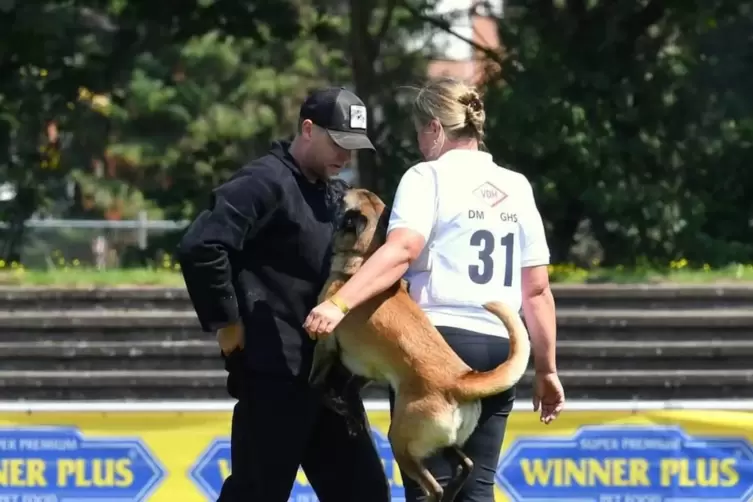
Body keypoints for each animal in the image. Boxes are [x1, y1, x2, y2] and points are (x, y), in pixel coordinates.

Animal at [308, 188, 532, 502]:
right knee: (466, 465)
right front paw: (349, 415)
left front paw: (335, 403)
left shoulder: (326, 346)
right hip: (445, 443)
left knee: (434, 485)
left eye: (342, 199)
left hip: (401, 441)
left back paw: (436, 494)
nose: (338, 186)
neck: (366, 257)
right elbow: (348, 392)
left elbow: (317, 385)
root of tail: (459, 381)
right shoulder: (365, 370)